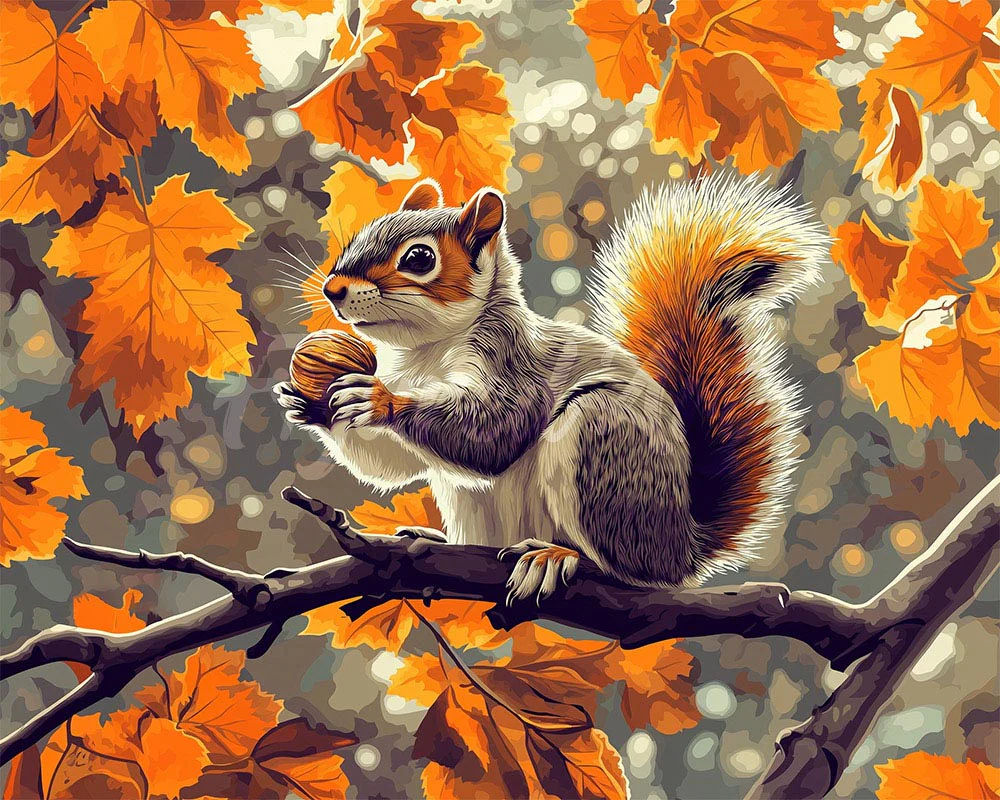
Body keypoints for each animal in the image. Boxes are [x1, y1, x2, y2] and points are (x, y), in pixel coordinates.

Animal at [274, 172, 827, 602]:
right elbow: (392, 465)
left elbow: (494, 432)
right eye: (358, 236)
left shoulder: (512, 360)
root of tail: (681, 548)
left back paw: (557, 556)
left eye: (418, 259)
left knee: (630, 574)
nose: (332, 289)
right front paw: (312, 404)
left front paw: (380, 399)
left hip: (605, 441)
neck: (424, 353)